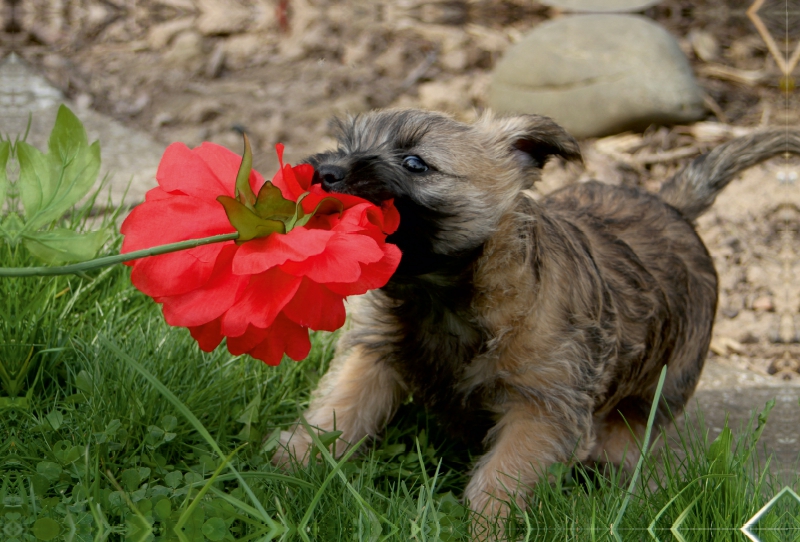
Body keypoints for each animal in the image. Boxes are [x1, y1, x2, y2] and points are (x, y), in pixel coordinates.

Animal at [270, 109, 800, 524]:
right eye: (347, 145)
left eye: (416, 163)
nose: (325, 171)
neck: (444, 297)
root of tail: (671, 204)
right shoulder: (374, 355)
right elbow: (336, 412)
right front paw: (288, 469)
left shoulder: (542, 406)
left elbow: (500, 479)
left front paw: (487, 527)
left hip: (664, 382)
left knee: (630, 429)